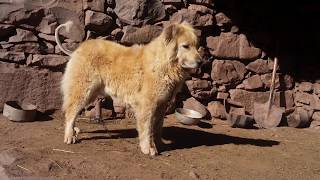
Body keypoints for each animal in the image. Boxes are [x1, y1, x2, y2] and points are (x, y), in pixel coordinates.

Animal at [54, 21, 200, 156]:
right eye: (185, 46)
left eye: (196, 46)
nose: (201, 61)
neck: (163, 62)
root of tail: (78, 49)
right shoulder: (147, 105)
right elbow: (147, 130)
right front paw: (148, 149)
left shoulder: (161, 105)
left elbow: (158, 128)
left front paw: (159, 145)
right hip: (83, 92)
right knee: (70, 114)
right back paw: (69, 136)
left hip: (91, 93)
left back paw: (74, 132)